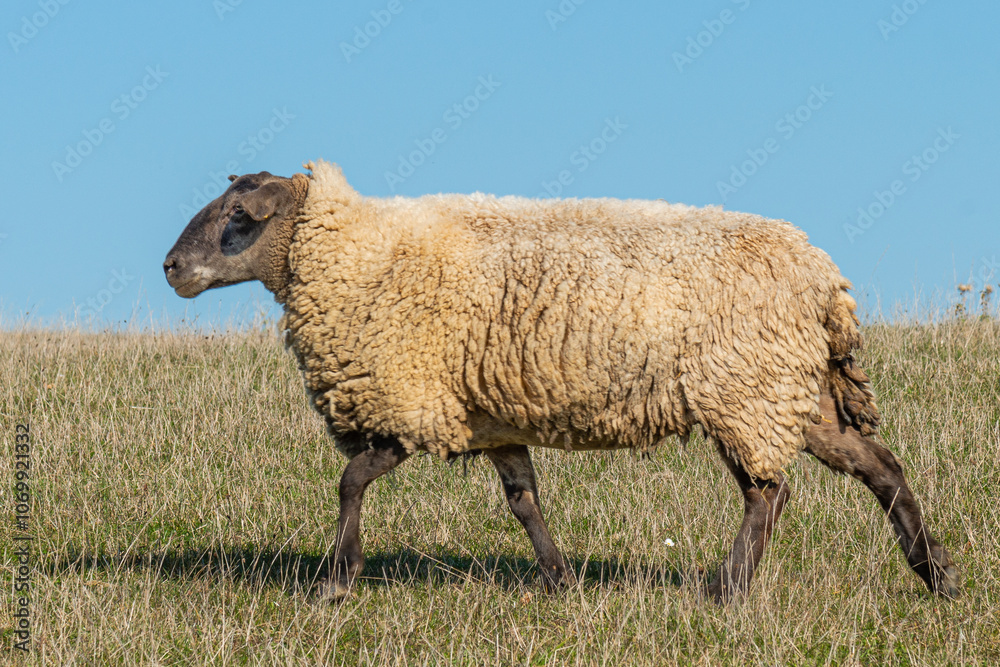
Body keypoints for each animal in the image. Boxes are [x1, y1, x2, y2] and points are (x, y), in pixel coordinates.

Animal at [163, 160, 959, 602]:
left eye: (238, 217)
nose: (171, 268)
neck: (357, 255)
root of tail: (823, 277)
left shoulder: (413, 402)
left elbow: (352, 480)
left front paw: (336, 580)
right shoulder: (488, 418)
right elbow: (524, 502)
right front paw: (559, 580)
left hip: (745, 386)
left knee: (770, 493)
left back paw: (727, 590)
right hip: (795, 387)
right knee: (879, 466)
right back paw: (937, 575)